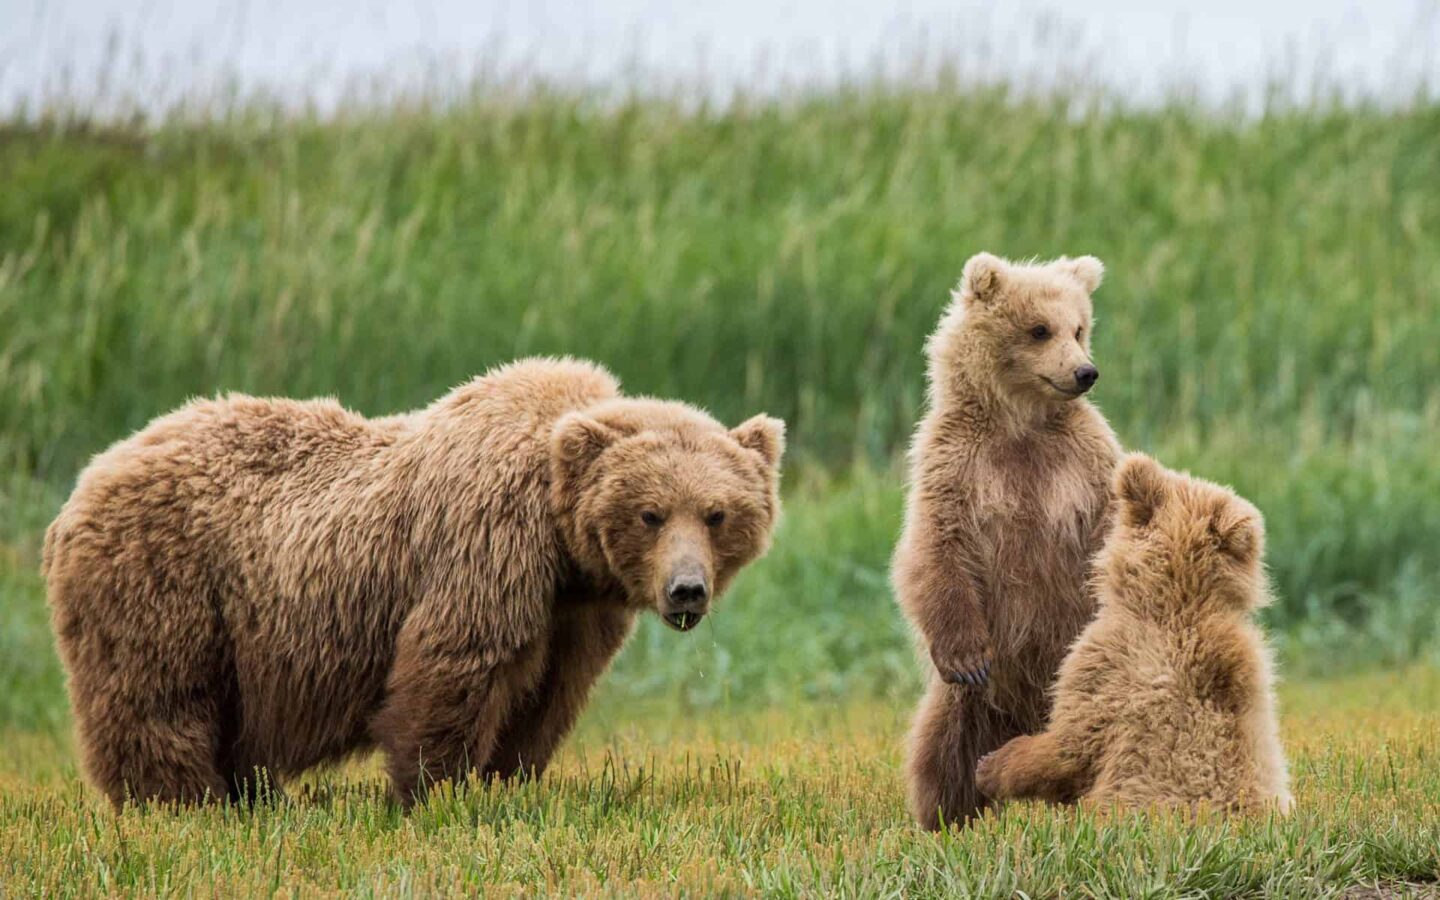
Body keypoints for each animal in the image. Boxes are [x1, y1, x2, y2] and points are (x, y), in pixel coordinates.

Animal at [42, 357, 785, 809]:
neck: (559, 539)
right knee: (158, 696)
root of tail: (87, 478)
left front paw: (508, 779)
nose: (686, 590)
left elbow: (547, 694)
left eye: (716, 514)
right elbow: (454, 666)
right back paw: (183, 801)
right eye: (650, 513)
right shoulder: (486, 544)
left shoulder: (574, 611)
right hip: (169, 579)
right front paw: (435, 791)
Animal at [893, 252, 1122, 829]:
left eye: (1079, 328)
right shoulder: (953, 464)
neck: (1019, 423)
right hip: (973, 701)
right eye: (1039, 329)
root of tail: (1022, 717)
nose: (1085, 372)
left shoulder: (1083, 463)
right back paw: (948, 815)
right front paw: (967, 656)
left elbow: (1112, 528)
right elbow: (935, 550)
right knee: (945, 745)